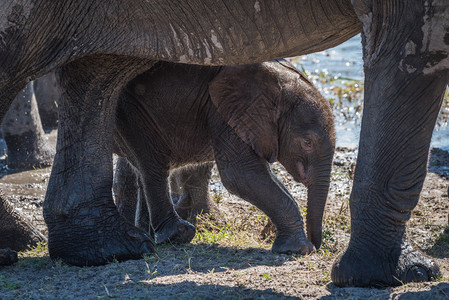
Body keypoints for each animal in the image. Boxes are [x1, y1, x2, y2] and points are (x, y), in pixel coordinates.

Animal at [114, 59, 334, 255]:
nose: (317, 245)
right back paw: (178, 234)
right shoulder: (225, 112)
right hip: (130, 108)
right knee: (153, 164)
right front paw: (298, 249)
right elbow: (241, 175)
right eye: (307, 143)